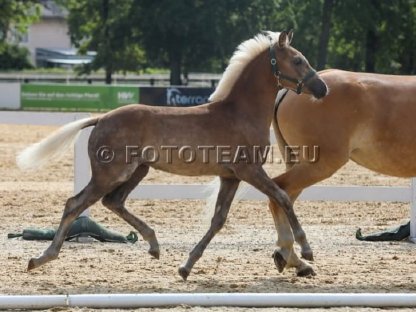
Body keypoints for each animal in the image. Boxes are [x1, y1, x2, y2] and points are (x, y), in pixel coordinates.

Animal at [17, 31, 328, 280]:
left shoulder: (230, 177)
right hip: (111, 173)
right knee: (75, 203)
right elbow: (283, 197)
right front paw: (307, 250)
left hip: (138, 170)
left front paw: (186, 267)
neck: (240, 113)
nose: (322, 88)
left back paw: (153, 245)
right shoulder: (249, 171)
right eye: (298, 60)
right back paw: (42, 258)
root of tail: (102, 118)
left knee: (113, 201)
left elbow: (218, 220)